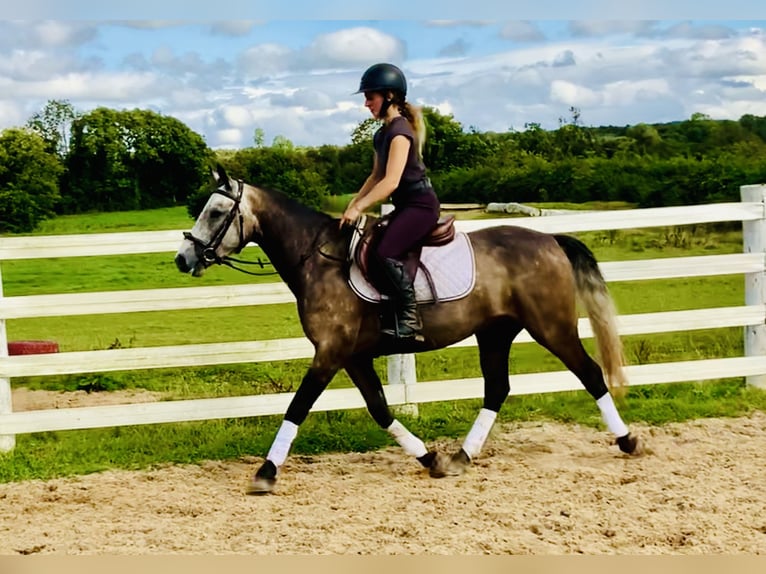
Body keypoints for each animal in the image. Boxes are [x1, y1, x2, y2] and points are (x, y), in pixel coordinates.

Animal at [177, 165, 644, 496]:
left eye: (216, 212)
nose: (184, 258)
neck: (319, 258)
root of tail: (550, 240)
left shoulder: (329, 353)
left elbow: (297, 407)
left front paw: (266, 472)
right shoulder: (352, 357)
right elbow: (380, 409)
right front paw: (429, 458)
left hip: (551, 326)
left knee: (590, 373)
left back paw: (628, 441)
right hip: (495, 333)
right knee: (497, 388)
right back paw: (460, 458)